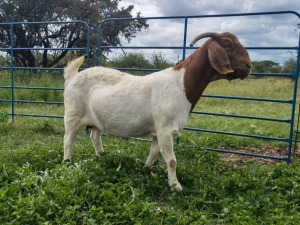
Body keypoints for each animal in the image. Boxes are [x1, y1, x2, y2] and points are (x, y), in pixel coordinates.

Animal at [63, 32, 251, 192]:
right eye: (227, 44)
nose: (248, 66)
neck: (182, 84)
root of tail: (73, 77)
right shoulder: (165, 129)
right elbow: (172, 160)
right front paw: (175, 185)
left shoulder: (157, 131)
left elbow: (153, 153)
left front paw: (145, 169)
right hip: (73, 114)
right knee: (68, 139)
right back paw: (67, 162)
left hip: (97, 120)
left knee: (95, 137)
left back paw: (102, 157)